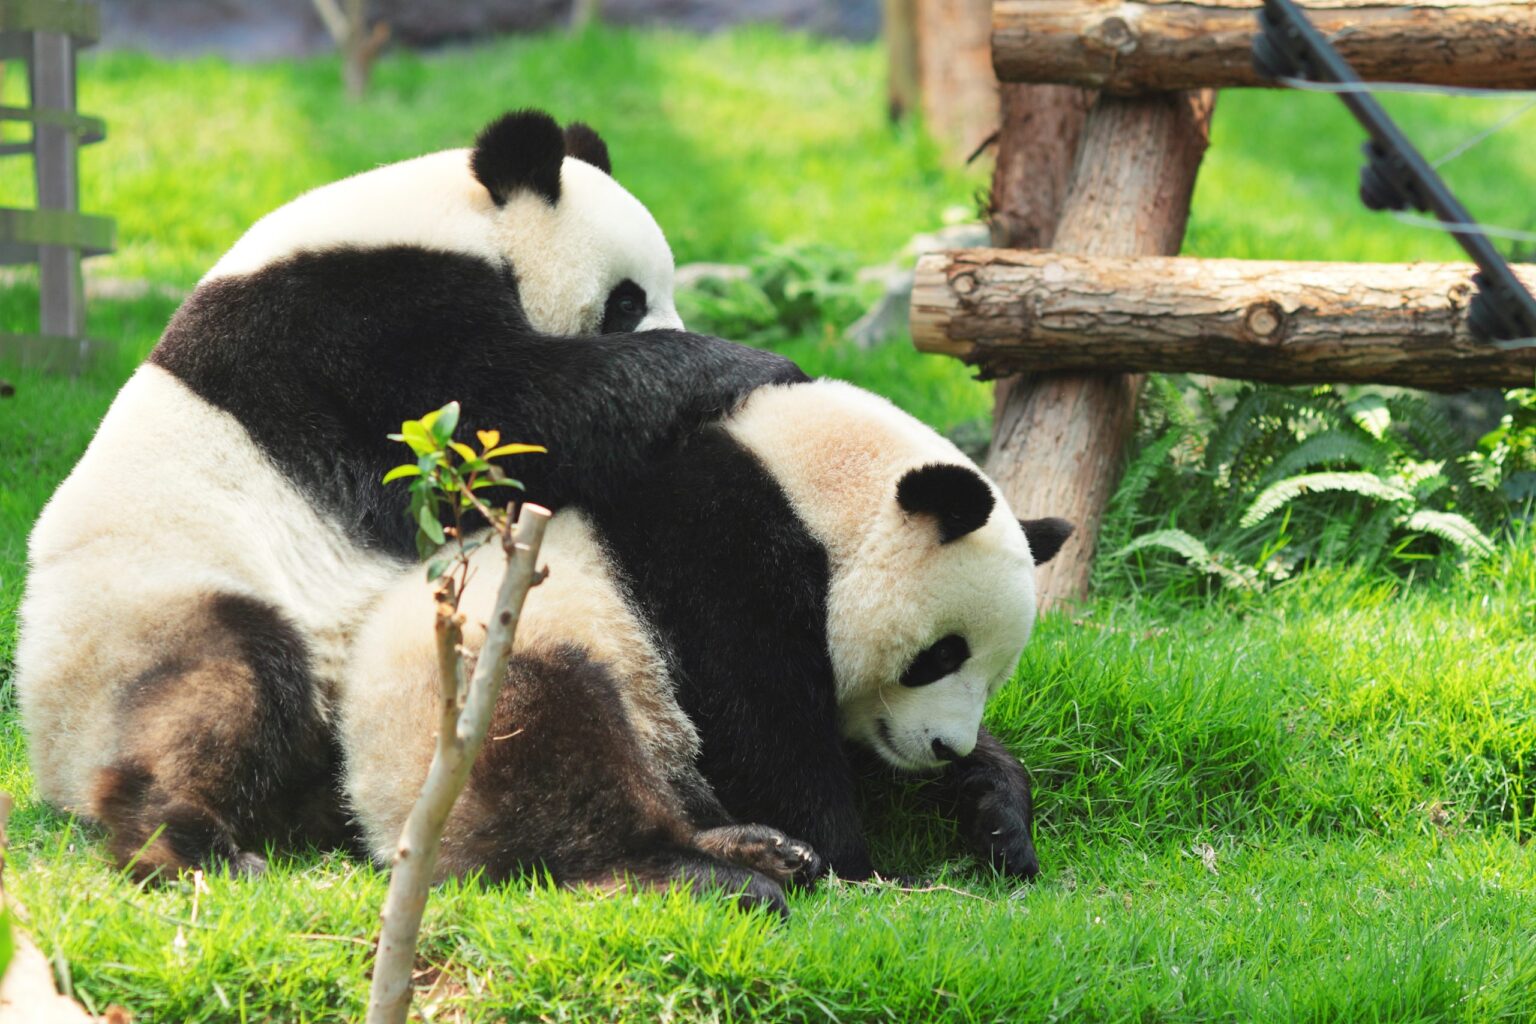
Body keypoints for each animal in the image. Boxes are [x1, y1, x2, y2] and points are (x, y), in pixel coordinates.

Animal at [14, 109, 804, 881]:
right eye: (627, 301)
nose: (659, 319)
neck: (459, 219)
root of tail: (50, 767)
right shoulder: (362, 324)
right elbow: (510, 414)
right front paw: (747, 364)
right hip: (150, 612)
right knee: (222, 689)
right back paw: (189, 845)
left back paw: (754, 845)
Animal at [340, 378, 1069, 912]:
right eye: (941, 655)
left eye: (993, 676)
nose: (947, 747)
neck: (810, 491)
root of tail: (378, 819)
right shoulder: (720, 554)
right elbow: (759, 723)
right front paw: (856, 863)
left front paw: (998, 817)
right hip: (479, 688)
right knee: (560, 757)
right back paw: (718, 875)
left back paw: (761, 852)